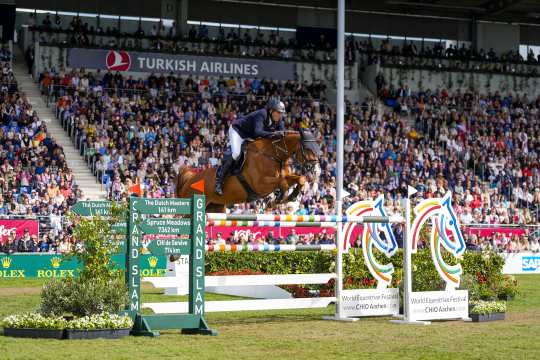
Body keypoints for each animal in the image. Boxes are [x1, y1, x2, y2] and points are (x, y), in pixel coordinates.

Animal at [177, 130, 318, 212]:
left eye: (316, 145)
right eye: (307, 147)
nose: (315, 167)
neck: (273, 155)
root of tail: (190, 178)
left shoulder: (284, 177)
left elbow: (300, 179)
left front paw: (291, 196)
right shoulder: (260, 184)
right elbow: (282, 183)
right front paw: (275, 200)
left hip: (215, 207)